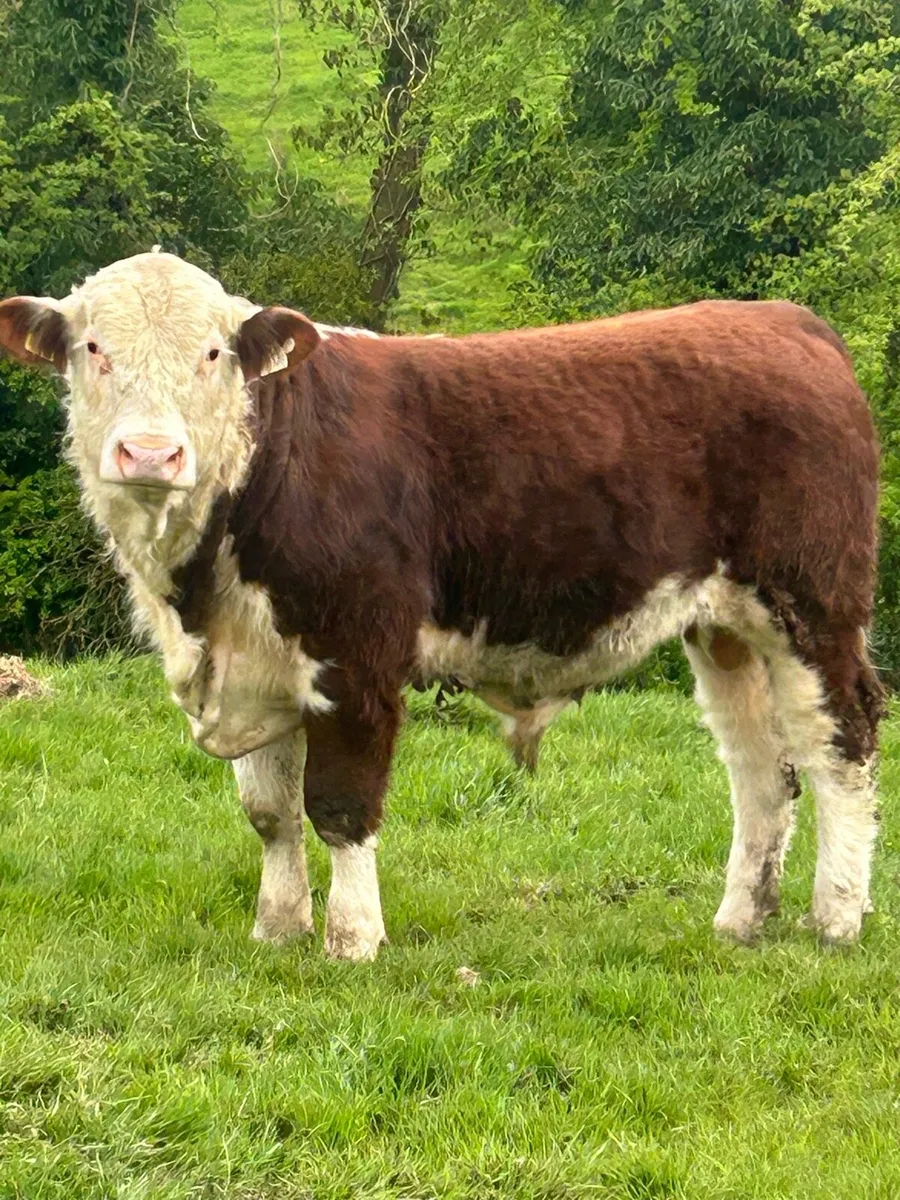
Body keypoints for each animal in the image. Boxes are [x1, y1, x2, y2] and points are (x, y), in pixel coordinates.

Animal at [0, 250, 883, 960]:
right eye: (92, 348)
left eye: (213, 353)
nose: (151, 453)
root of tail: (785, 319)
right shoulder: (255, 660)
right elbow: (270, 811)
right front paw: (277, 929)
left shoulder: (356, 653)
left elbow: (340, 805)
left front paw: (352, 940)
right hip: (725, 624)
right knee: (761, 766)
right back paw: (740, 920)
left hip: (813, 605)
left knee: (842, 743)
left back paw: (837, 919)